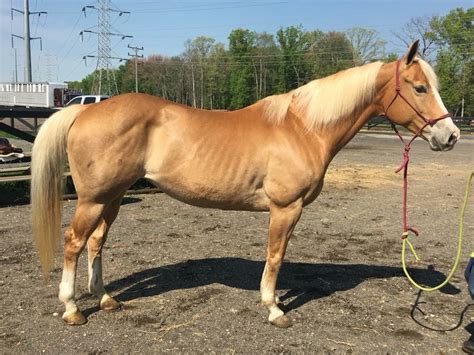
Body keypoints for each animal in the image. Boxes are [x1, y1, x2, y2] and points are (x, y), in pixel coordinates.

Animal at [30, 41, 460, 328]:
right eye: (420, 87)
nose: (451, 135)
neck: (302, 128)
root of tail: (85, 110)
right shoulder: (286, 208)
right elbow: (275, 257)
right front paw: (274, 309)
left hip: (114, 197)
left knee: (96, 242)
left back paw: (105, 299)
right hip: (94, 198)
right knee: (74, 242)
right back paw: (73, 309)